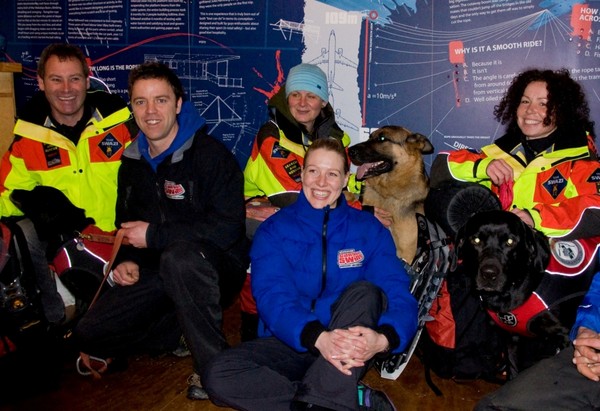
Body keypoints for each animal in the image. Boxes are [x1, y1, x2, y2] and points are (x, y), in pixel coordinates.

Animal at [454, 211, 596, 378]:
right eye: (476, 240)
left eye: (510, 242)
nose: (489, 274)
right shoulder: (511, 337)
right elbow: (513, 369)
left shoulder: (566, 335)